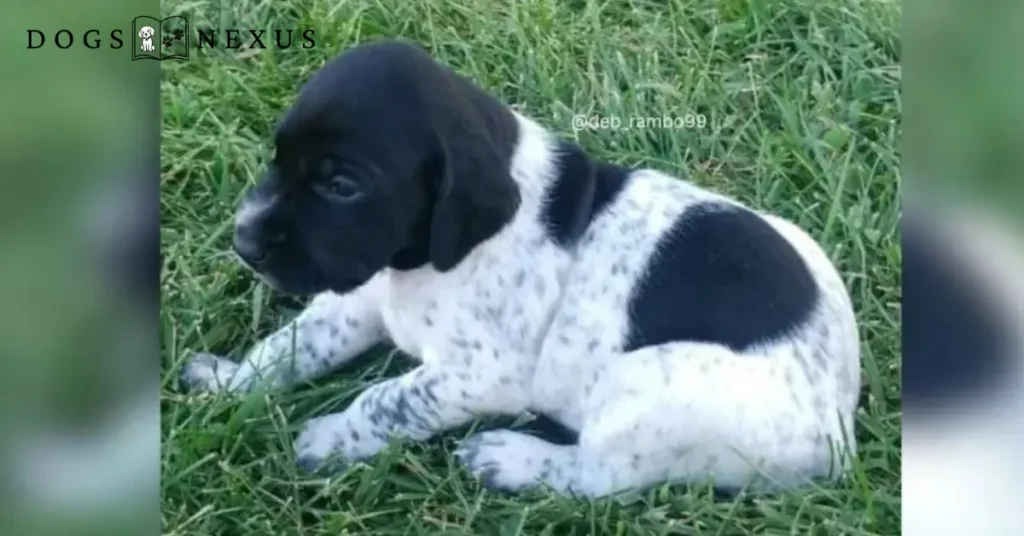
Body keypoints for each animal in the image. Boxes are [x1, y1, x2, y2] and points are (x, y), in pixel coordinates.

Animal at [180, 38, 860, 500]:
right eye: (277, 156)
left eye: (341, 185)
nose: (242, 240)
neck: (423, 263)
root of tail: (837, 424)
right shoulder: (357, 302)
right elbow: (291, 347)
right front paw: (229, 381)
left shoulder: (480, 375)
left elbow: (387, 399)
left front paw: (331, 439)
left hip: (643, 389)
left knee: (596, 478)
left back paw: (507, 459)